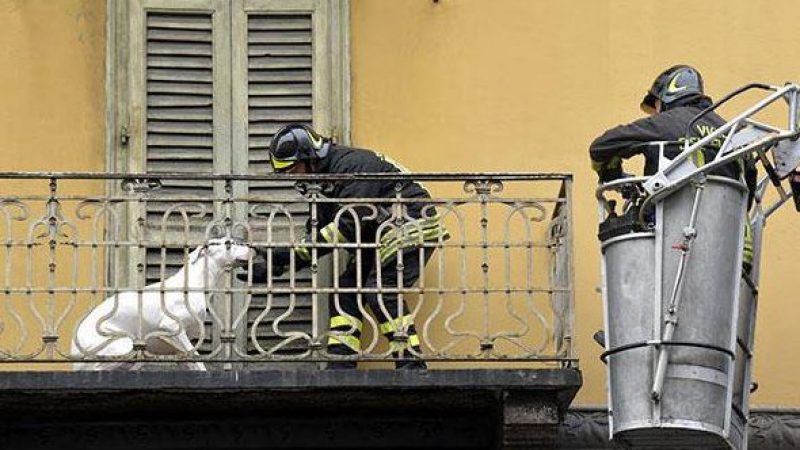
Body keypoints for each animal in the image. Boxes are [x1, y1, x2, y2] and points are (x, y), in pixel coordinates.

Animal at [73, 239, 253, 370]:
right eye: (228, 243)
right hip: (123, 346)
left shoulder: (179, 345)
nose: (253, 247)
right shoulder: (172, 327)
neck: (193, 283)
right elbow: (198, 360)